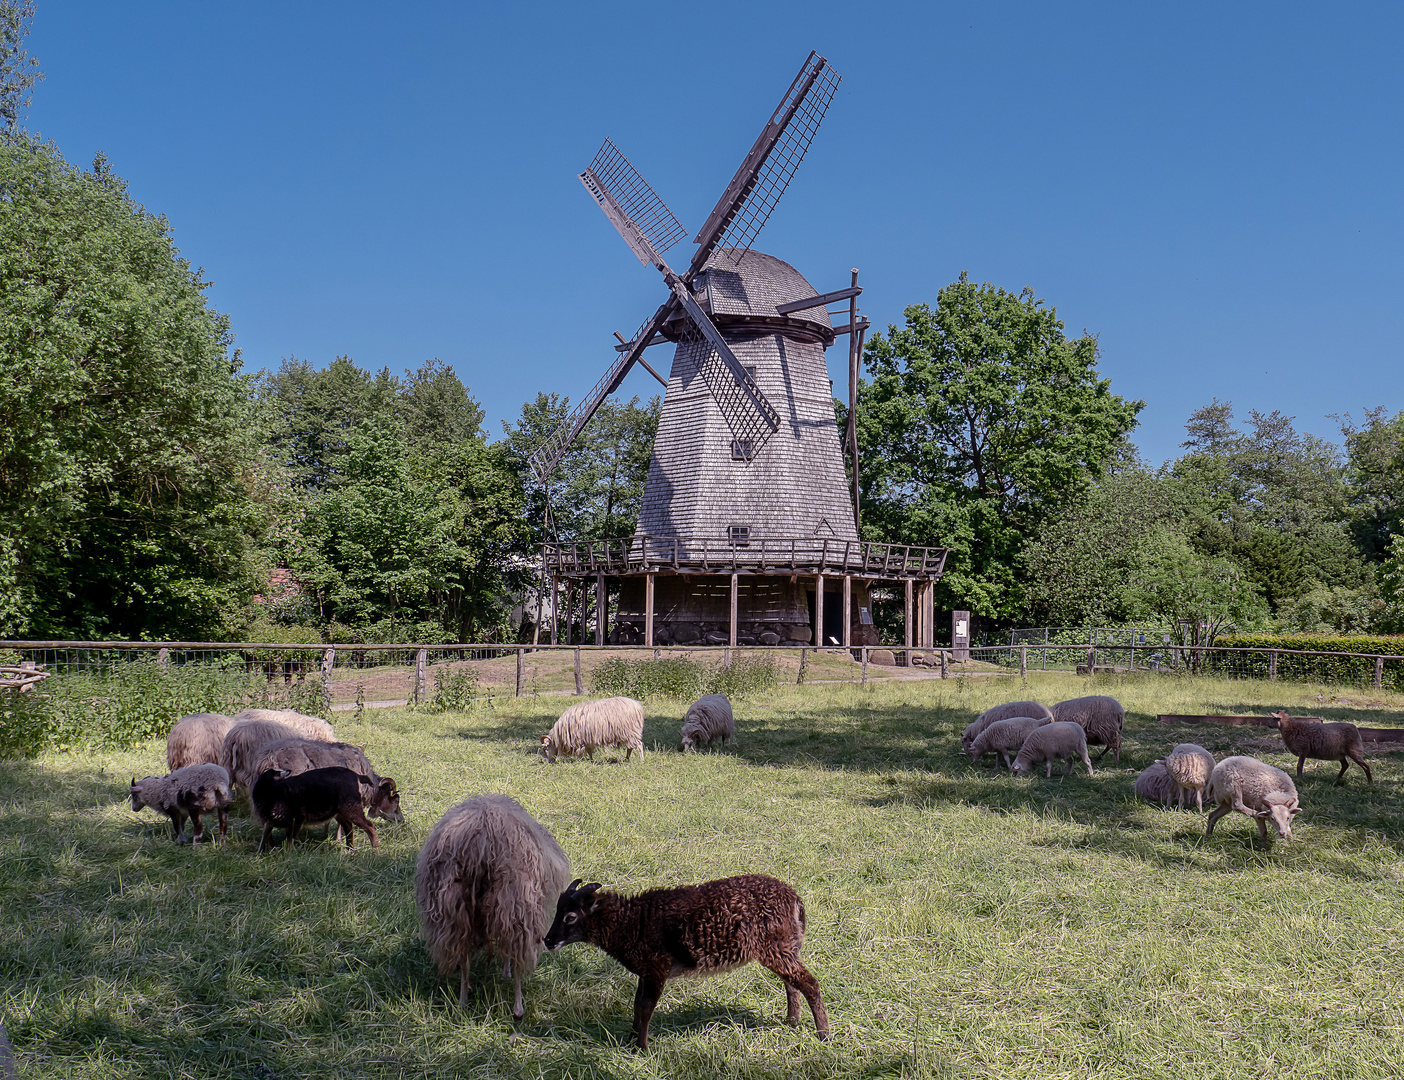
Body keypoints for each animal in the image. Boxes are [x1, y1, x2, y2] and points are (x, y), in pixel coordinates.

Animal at [248, 764, 376, 853]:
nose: (288, 770)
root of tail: (357, 776)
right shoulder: (269, 821)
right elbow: (265, 836)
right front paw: (259, 853)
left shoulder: (297, 818)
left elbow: (290, 839)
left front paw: (289, 854)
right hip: (340, 811)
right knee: (349, 827)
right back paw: (350, 850)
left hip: (351, 805)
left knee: (369, 826)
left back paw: (376, 851)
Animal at [412, 786, 572, 1016]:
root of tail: (481, 839)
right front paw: (506, 973)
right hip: (516, 904)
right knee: (515, 955)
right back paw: (518, 1008)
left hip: (453, 910)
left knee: (464, 954)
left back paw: (462, 1001)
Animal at [541, 870, 825, 1050]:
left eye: (570, 917)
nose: (547, 941)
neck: (631, 923)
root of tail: (796, 901)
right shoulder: (645, 971)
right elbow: (636, 1005)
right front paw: (631, 1039)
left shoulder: (656, 968)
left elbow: (646, 1008)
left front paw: (641, 1048)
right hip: (785, 947)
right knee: (793, 984)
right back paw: (792, 1022)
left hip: (775, 947)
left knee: (809, 983)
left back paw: (824, 1035)